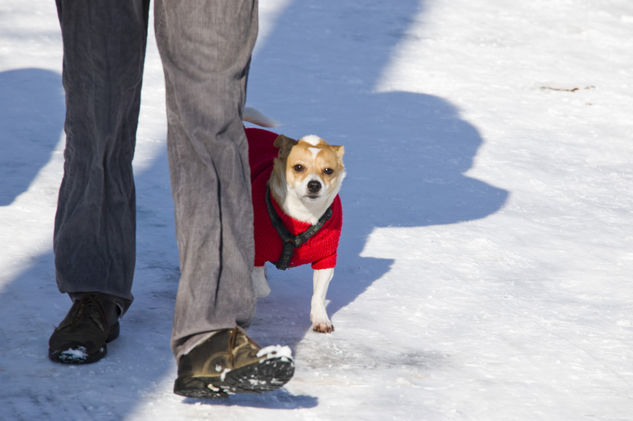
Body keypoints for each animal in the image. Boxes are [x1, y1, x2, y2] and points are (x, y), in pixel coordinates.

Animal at [243, 110, 346, 334]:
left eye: (328, 171)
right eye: (298, 167)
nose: (314, 184)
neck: (303, 217)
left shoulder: (326, 257)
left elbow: (319, 293)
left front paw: (321, 319)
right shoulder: (256, 251)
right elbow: (261, 286)